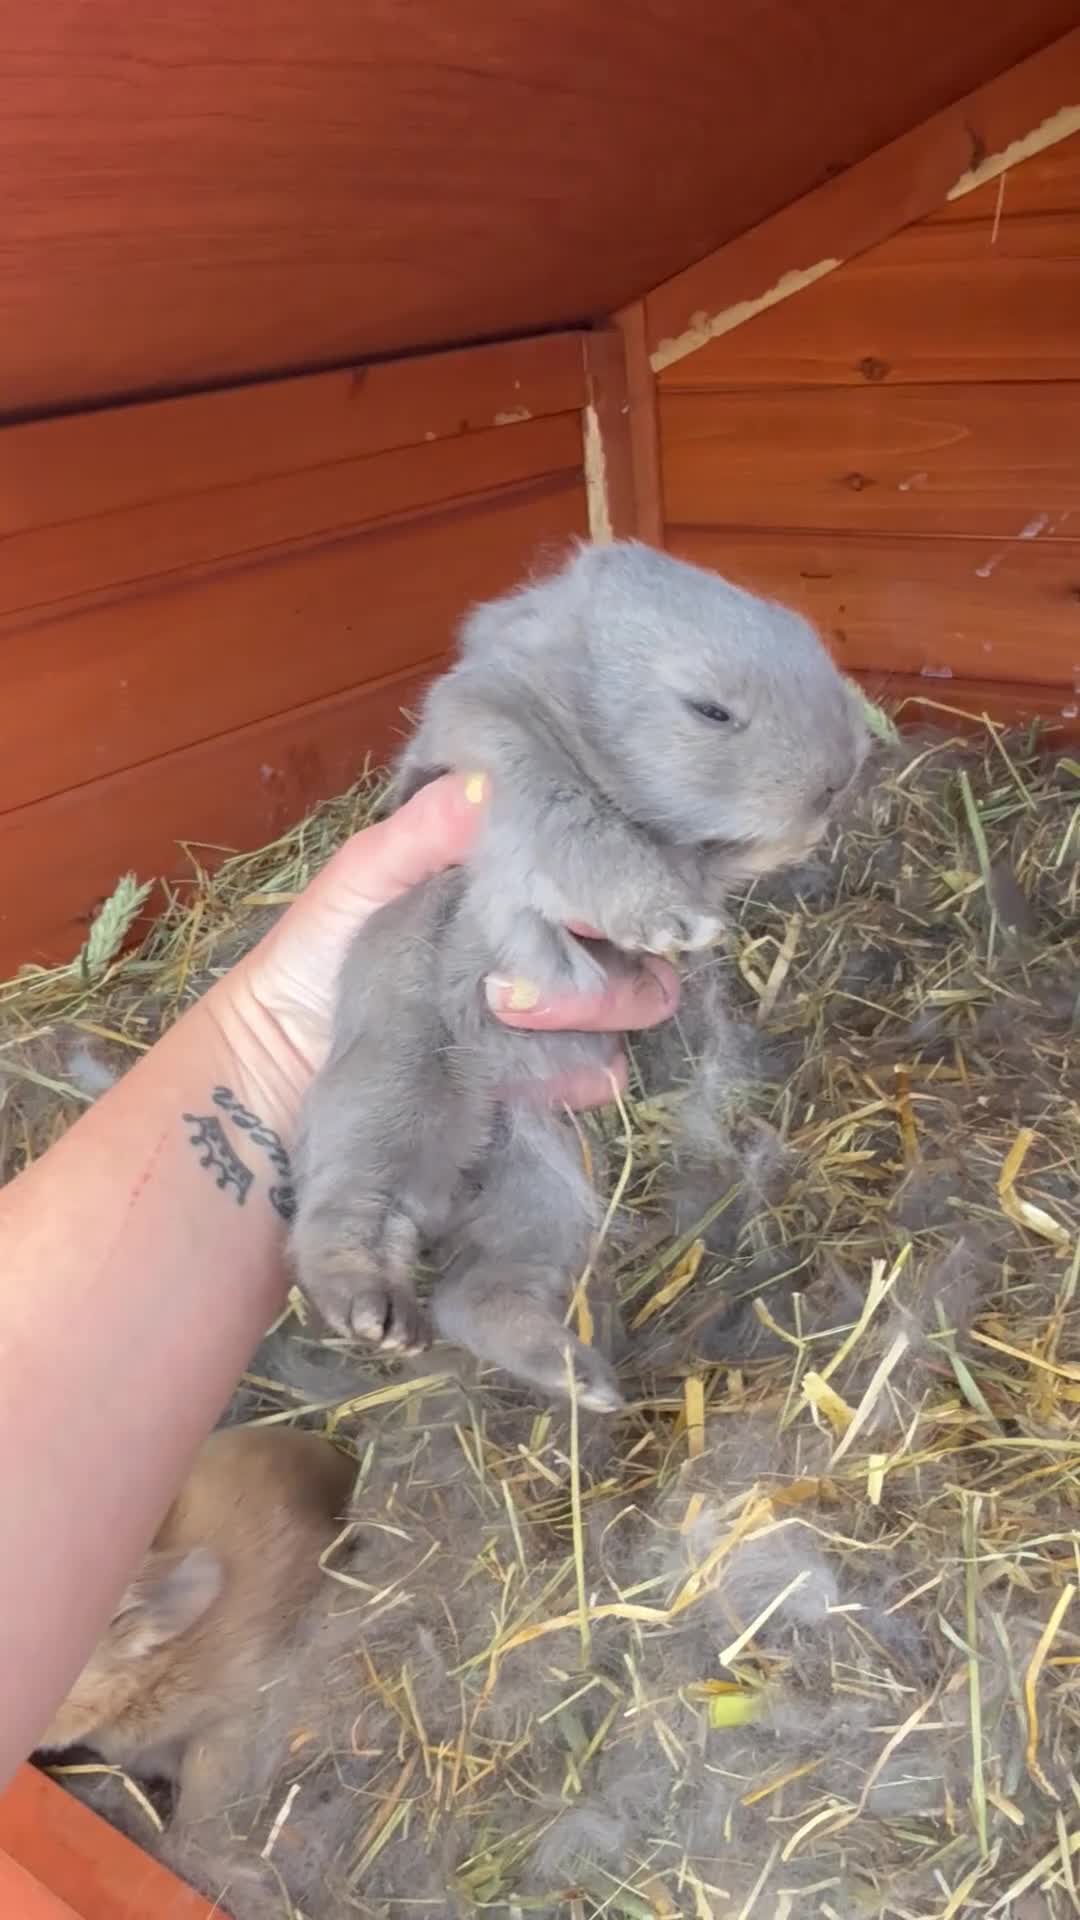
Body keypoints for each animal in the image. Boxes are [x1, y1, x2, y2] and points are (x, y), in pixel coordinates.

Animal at [289, 539, 869, 1406]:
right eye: (709, 711)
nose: (835, 783)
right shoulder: (500, 752)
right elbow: (572, 822)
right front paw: (667, 919)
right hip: (391, 1082)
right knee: (341, 1217)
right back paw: (376, 1313)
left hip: (540, 1178)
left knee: (475, 1293)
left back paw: (584, 1381)